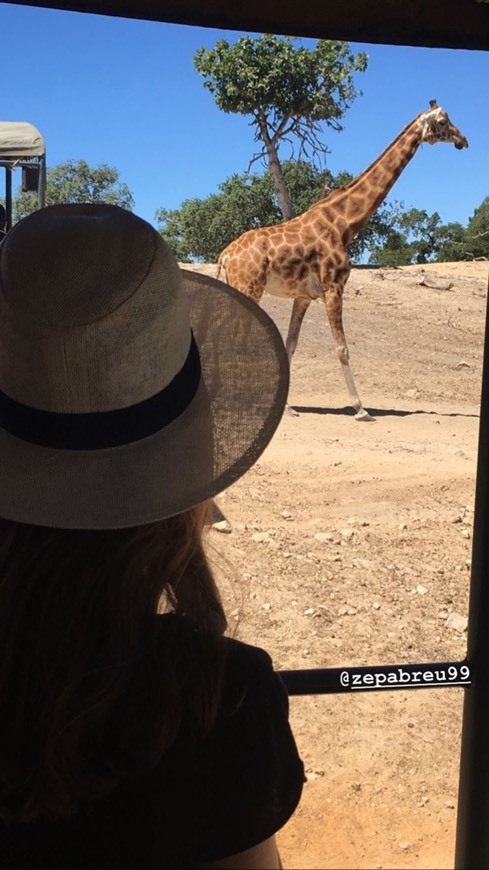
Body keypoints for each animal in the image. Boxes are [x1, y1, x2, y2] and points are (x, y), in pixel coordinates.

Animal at [218, 102, 468, 422]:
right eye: (443, 121)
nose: (463, 140)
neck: (345, 224)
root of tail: (225, 255)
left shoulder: (304, 296)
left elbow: (290, 346)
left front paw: (288, 408)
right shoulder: (334, 286)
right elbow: (342, 348)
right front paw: (361, 409)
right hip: (249, 287)